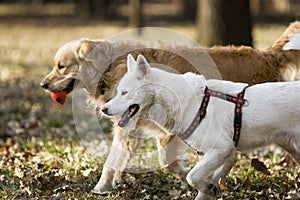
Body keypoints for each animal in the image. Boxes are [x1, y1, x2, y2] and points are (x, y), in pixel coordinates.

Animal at [101, 54, 300, 199]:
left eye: (124, 92)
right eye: (118, 92)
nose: (104, 109)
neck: (191, 104)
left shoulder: (222, 148)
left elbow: (192, 177)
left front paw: (208, 187)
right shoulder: (219, 153)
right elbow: (206, 178)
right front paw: (211, 188)